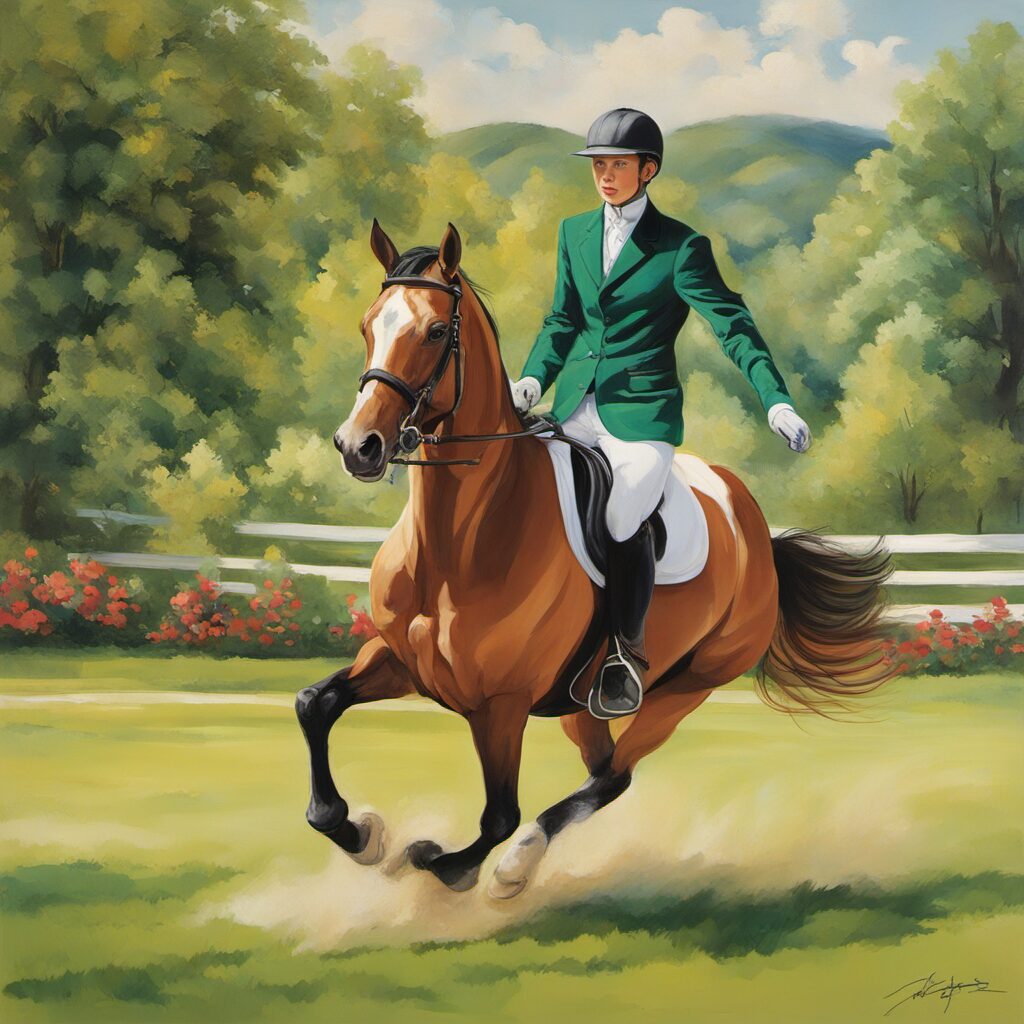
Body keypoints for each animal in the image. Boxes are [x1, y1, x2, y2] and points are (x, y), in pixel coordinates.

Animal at [295, 219, 894, 898]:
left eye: (435, 332)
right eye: (370, 325)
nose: (358, 446)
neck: (459, 544)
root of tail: (756, 531)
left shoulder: (500, 706)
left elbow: (497, 814)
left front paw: (442, 862)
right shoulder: (399, 660)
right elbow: (313, 704)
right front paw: (357, 832)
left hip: (688, 686)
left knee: (612, 776)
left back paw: (516, 866)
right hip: (581, 706)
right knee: (602, 767)